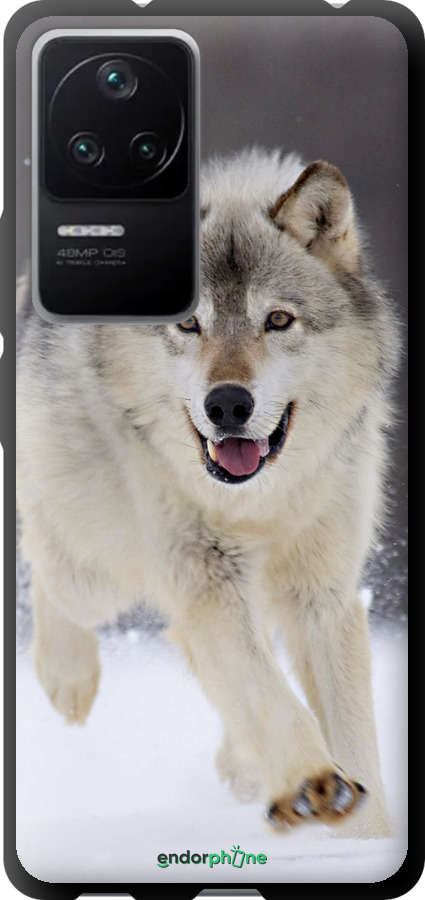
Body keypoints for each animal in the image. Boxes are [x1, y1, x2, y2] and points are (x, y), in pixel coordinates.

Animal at [17, 149, 399, 837]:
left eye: (278, 320)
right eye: (189, 323)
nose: (227, 404)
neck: (259, 503)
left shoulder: (323, 594)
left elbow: (353, 734)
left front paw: (365, 835)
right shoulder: (206, 580)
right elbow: (269, 695)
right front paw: (312, 783)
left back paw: (243, 766)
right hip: (98, 571)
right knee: (45, 559)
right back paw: (69, 679)